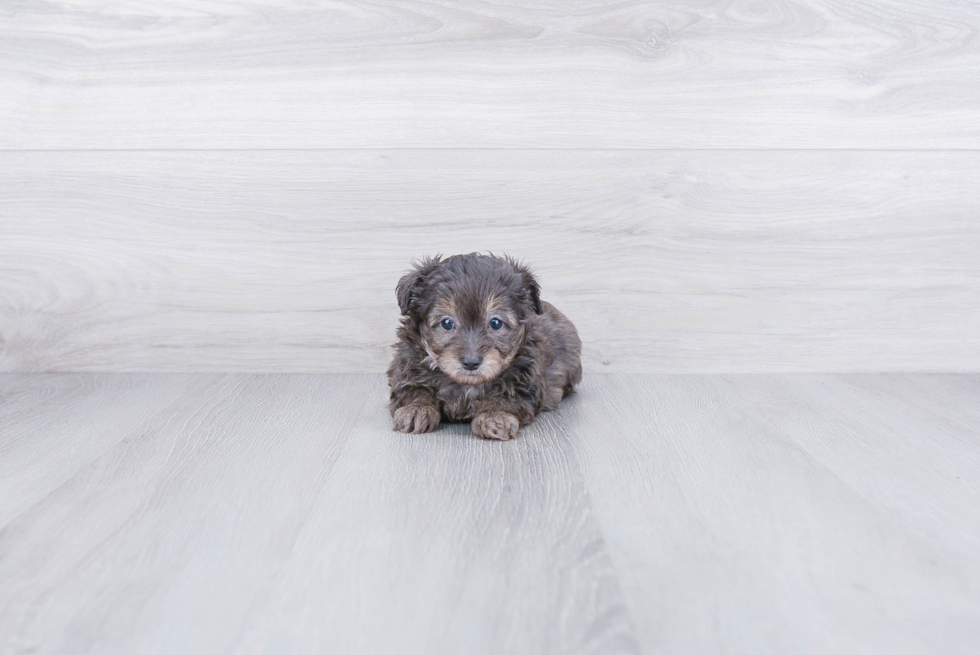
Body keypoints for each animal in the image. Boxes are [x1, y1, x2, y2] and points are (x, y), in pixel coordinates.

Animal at [386, 254, 580, 444]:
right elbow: (413, 388)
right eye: (447, 323)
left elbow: (506, 395)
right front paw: (416, 408)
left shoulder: (525, 376)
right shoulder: (407, 365)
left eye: (495, 323)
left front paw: (496, 415)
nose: (471, 362)